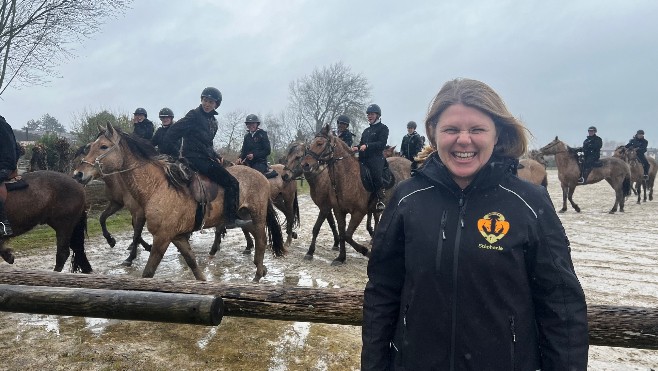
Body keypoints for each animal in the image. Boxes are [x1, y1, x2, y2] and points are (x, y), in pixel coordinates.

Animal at [73, 123, 284, 284]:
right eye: (90, 146)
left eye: (103, 146)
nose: (78, 174)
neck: (157, 187)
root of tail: (261, 176)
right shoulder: (177, 237)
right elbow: (193, 265)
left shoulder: (162, 238)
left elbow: (148, 272)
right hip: (246, 216)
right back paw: (260, 267)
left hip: (257, 215)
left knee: (261, 241)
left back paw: (257, 274)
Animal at [298, 125, 410, 264]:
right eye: (310, 145)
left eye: (319, 143)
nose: (304, 164)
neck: (347, 177)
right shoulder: (338, 210)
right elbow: (342, 234)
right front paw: (341, 257)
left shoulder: (358, 212)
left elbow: (347, 235)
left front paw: (366, 251)